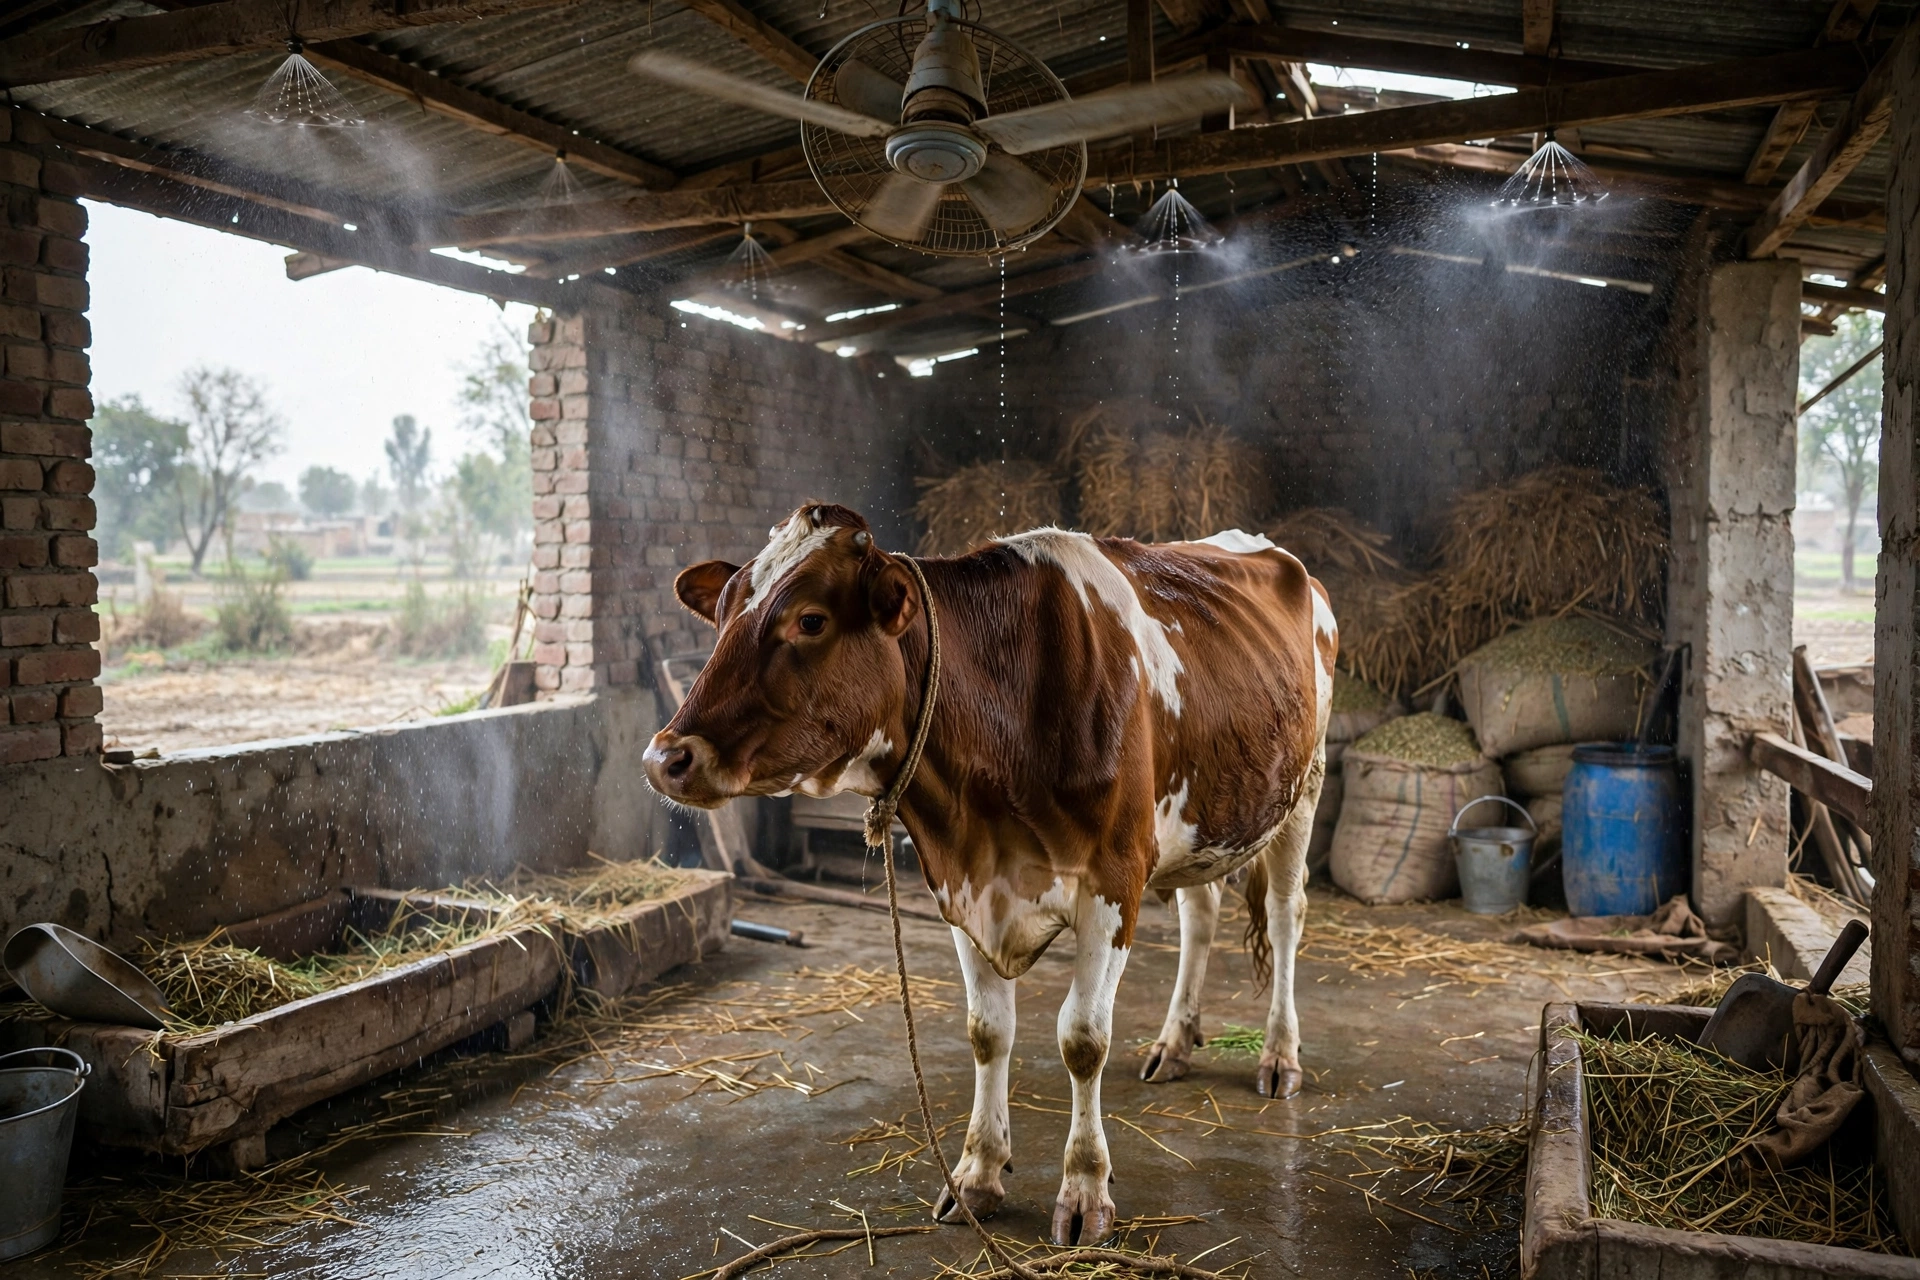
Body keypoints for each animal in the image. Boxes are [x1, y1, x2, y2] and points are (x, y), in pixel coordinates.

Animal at [643, 503, 1334, 1247]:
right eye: (721, 614)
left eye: (810, 620)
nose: (666, 758)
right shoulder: (961, 883)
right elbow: (987, 1031)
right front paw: (977, 1174)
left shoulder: (1113, 883)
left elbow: (1082, 1039)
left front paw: (1085, 1190)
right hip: (1205, 818)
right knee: (1199, 916)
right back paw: (1175, 1043)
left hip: (1303, 788)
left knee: (1286, 920)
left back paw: (1279, 1057)